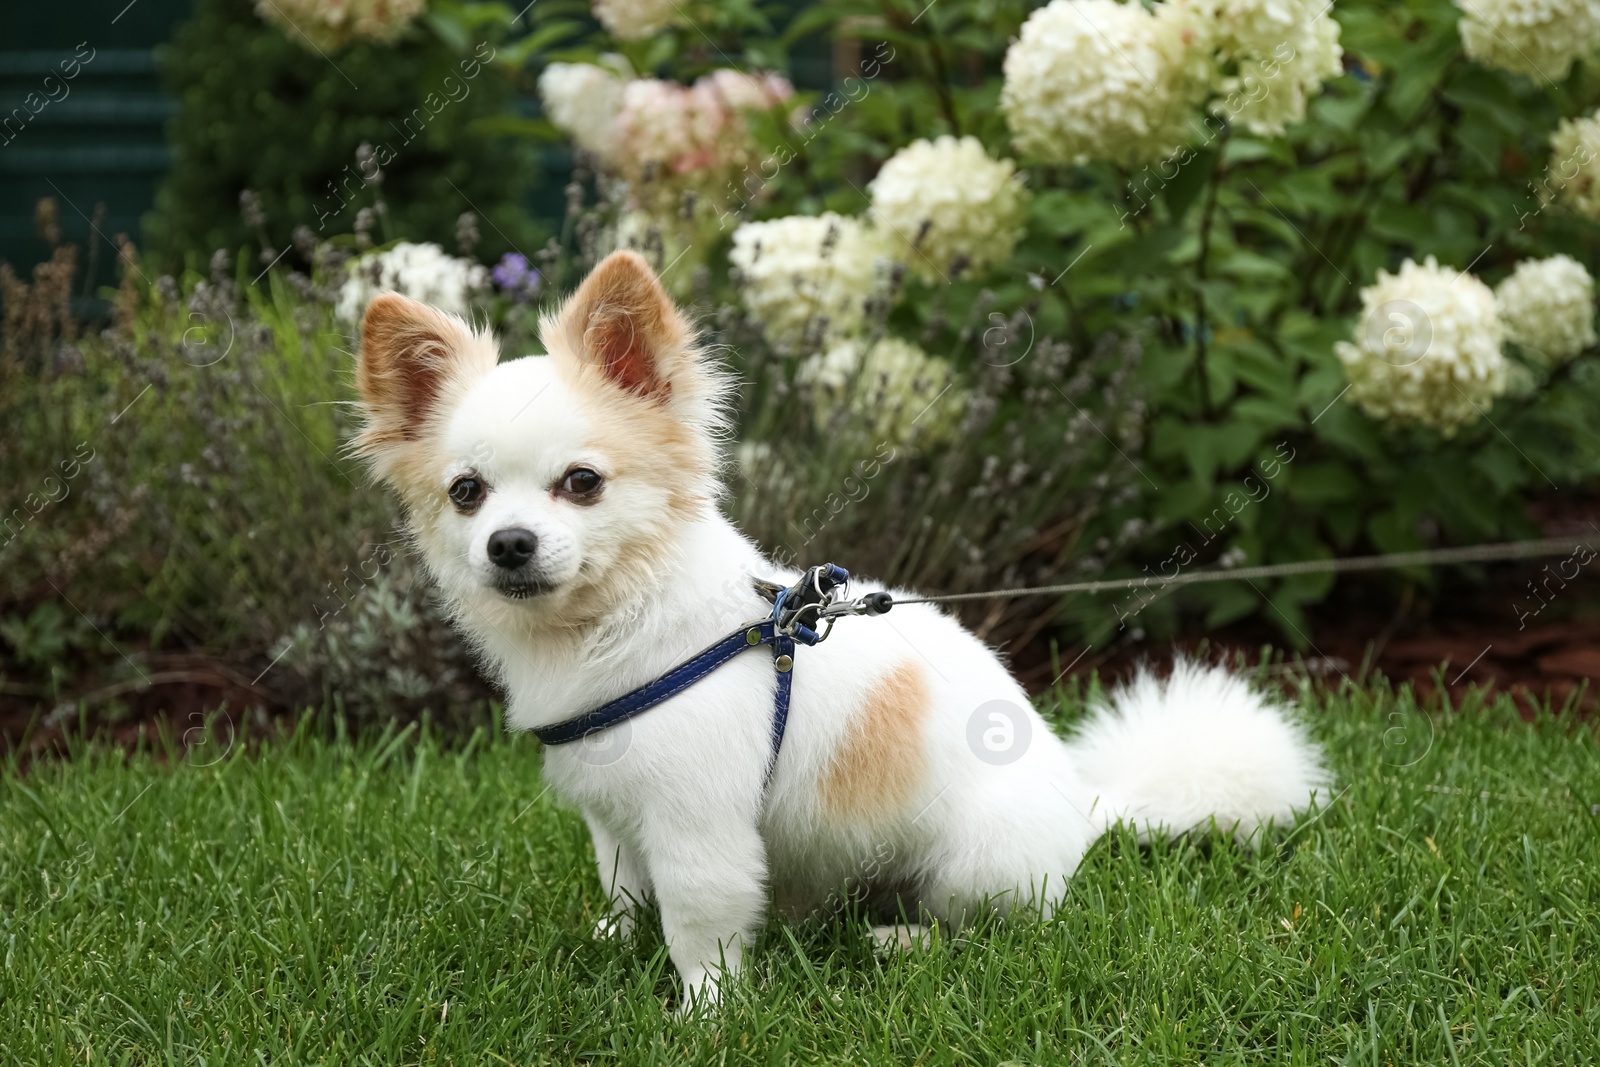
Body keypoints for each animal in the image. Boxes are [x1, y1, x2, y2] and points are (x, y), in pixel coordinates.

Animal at [356, 251, 1331, 1011]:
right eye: (467, 493)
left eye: (582, 482)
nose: (509, 543)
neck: (615, 625)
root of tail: (1085, 806)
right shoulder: (617, 812)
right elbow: (627, 886)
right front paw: (611, 938)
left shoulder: (699, 826)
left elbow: (698, 921)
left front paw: (704, 1014)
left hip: (975, 865)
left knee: (985, 930)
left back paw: (899, 941)